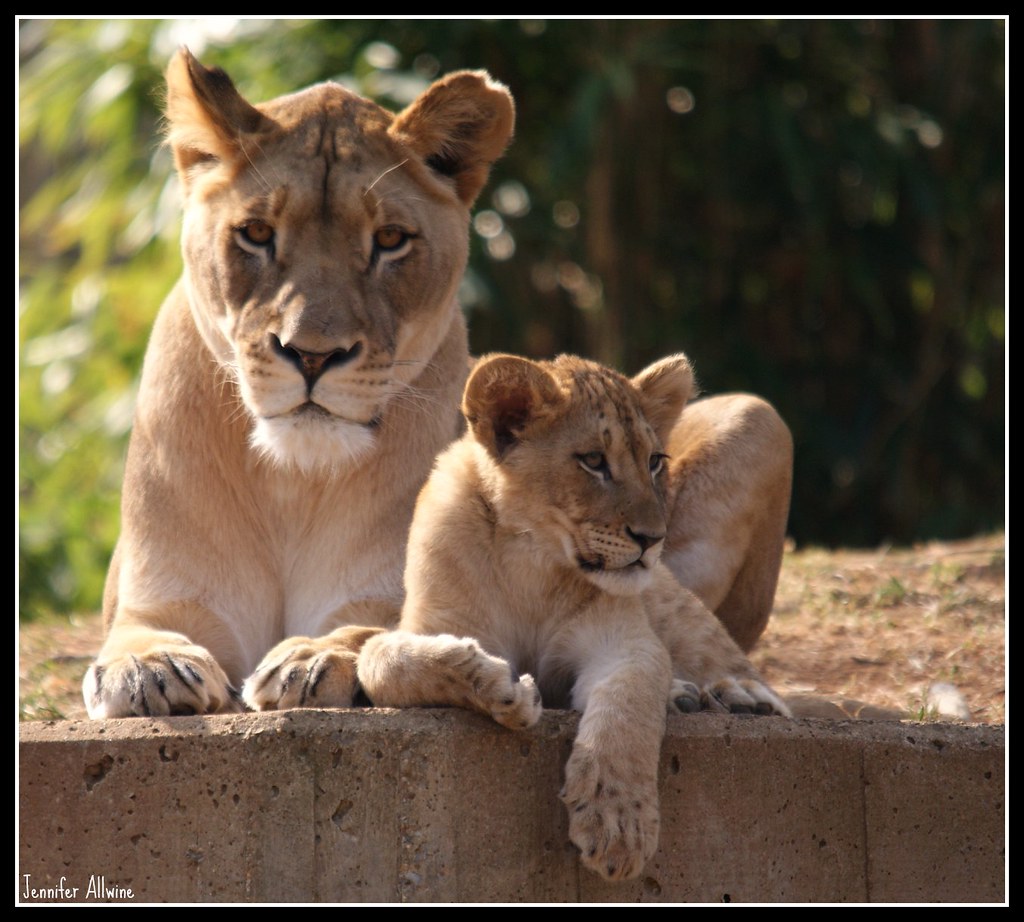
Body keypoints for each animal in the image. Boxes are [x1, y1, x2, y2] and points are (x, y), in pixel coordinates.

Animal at [83, 50, 793, 721]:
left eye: (390, 240)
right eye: (256, 233)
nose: (312, 355)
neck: (293, 480)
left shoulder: (401, 598)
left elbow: (364, 633)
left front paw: (310, 658)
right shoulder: (166, 596)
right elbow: (133, 636)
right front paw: (149, 668)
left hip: (757, 420)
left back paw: (722, 690)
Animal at [356, 352, 790, 882]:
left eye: (654, 462)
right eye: (594, 461)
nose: (653, 538)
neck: (532, 562)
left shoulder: (624, 641)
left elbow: (628, 706)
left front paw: (618, 820)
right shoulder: (433, 623)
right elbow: (383, 660)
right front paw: (501, 687)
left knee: (737, 670)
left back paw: (737, 700)